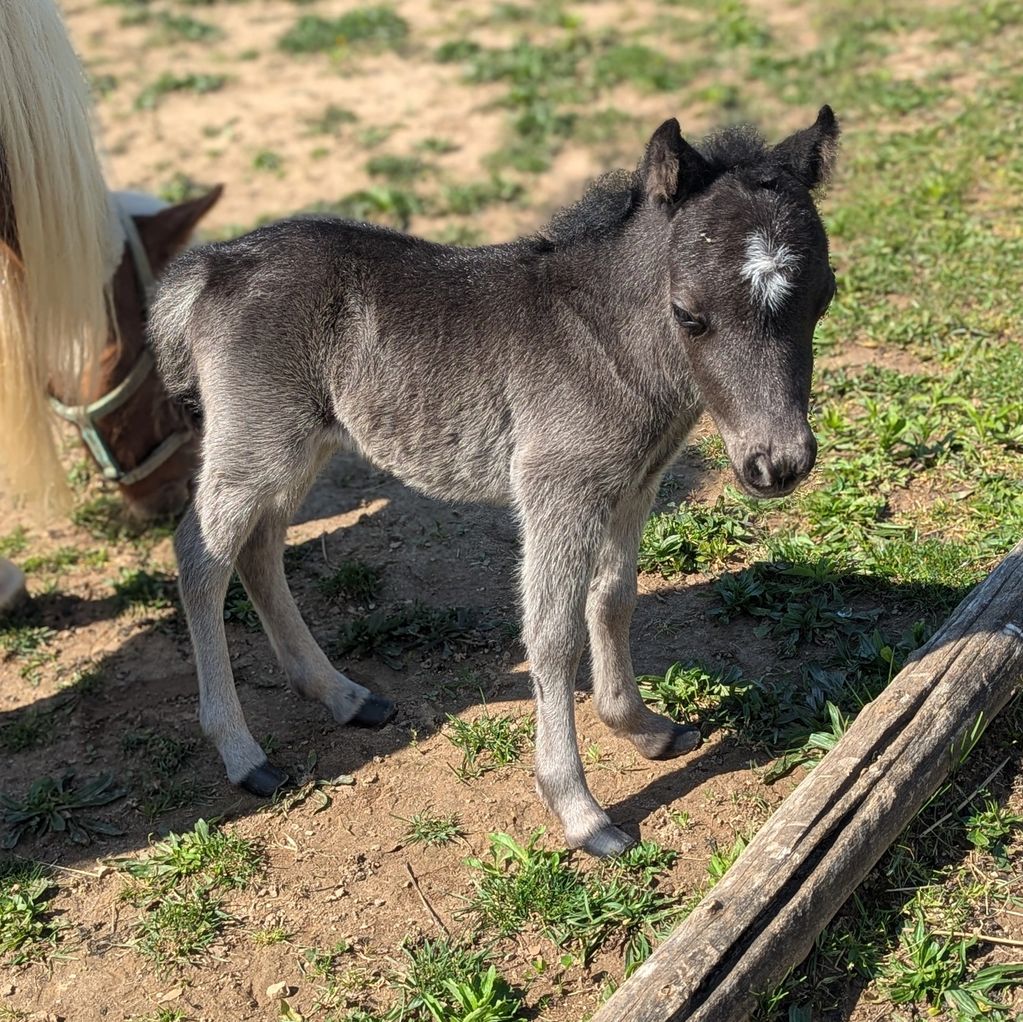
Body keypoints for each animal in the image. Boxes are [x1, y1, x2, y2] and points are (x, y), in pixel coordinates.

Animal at [150, 108, 840, 856]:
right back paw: (243, 754)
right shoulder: (555, 489)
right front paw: (580, 811)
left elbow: (614, 599)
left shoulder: (633, 486)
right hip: (256, 440)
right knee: (200, 557)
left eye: (823, 299)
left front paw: (640, 726)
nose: (778, 463)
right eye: (689, 313)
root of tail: (213, 267)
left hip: (301, 443)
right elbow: (553, 635)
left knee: (260, 546)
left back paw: (343, 696)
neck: (605, 340)